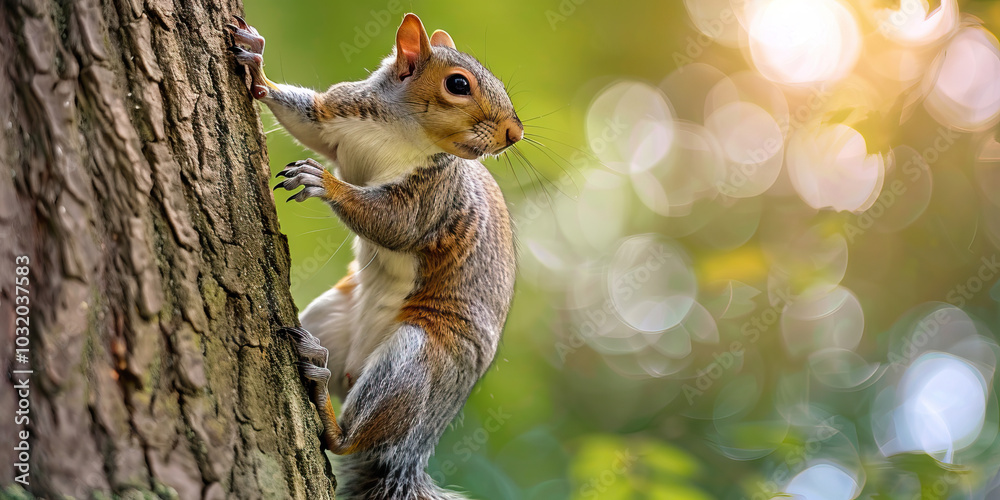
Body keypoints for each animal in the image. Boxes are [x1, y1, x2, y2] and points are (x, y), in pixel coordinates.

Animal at [227, 13, 521, 500]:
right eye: (458, 84)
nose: (514, 134)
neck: (399, 130)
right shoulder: (336, 114)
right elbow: (307, 119)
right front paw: (257, 66)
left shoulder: (432, 196)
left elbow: (396, 224)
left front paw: (323, 182)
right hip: (332, 316)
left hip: (415, 361)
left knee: (347, 440)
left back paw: (323, 394)